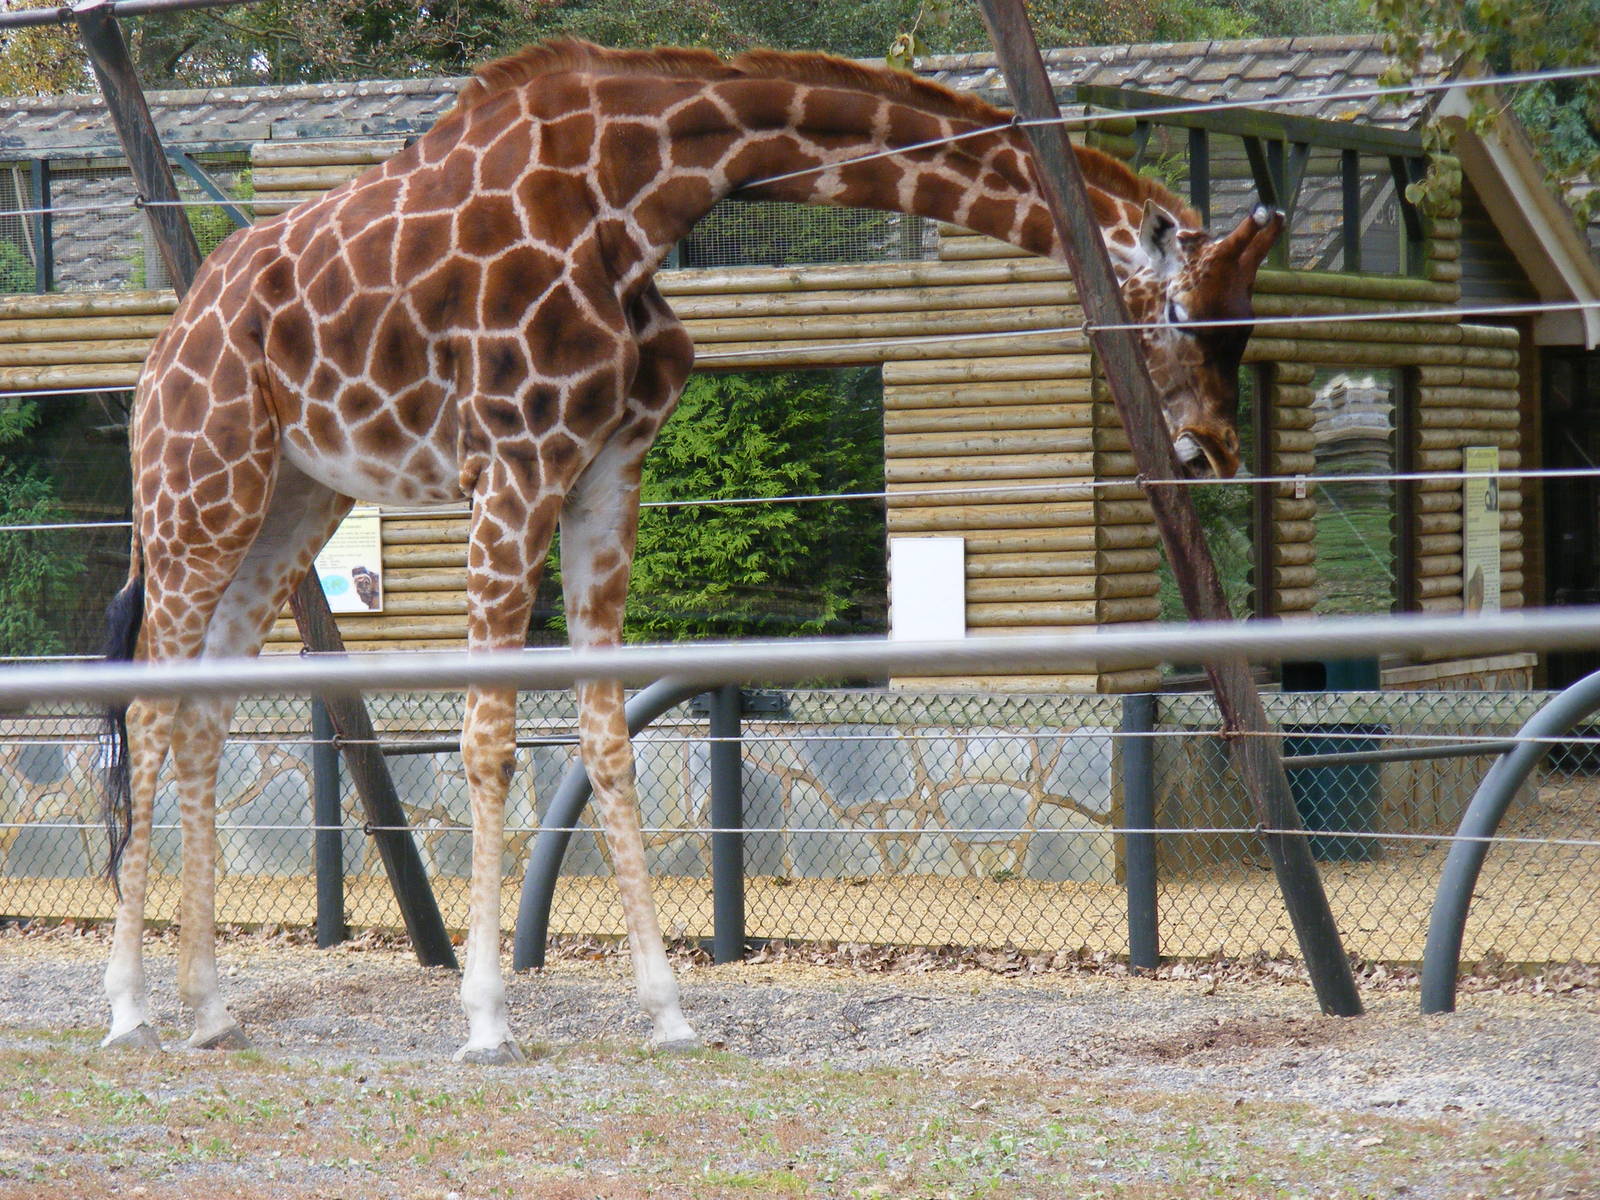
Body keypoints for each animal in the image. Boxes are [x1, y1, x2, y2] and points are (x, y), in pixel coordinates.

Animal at [98, 40, 1282, 1060]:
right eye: (1187, 315)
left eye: (1246, 328)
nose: (1217, 450)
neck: (639, 189)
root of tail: (163, 350)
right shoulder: (515, 463)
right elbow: (489, 741)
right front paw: (485, 1021)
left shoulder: (606, 467)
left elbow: (604, 736)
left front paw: (667, 1012)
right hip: (198, 487)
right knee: (150, 709)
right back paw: (128, 1010)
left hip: (291, 500)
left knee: (200, 711)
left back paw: (210, 1010)